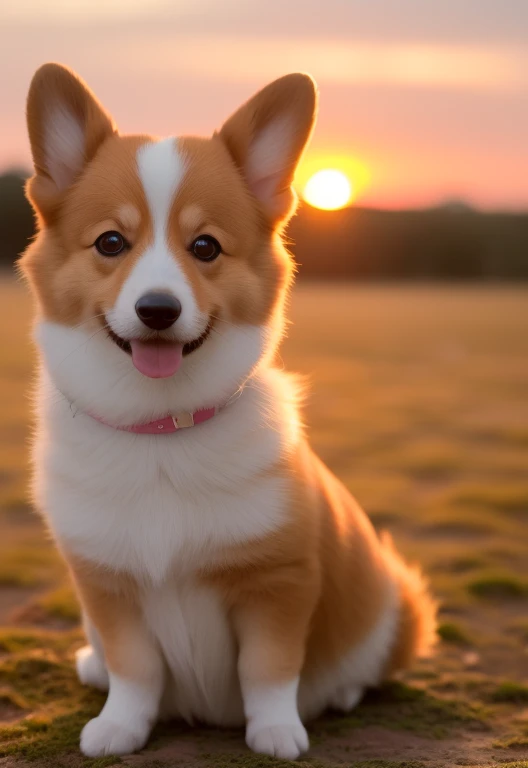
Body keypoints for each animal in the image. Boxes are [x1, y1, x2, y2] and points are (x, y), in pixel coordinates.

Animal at [18, 63, 436, 760]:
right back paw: (92, 665)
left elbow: (267, 669)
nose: (158, 309)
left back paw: (344, 691)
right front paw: (119, 727)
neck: (161, 429)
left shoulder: (279, 581)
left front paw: (276, 733)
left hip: (393, 597)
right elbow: (135, 669)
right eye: (111, 241)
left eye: (206, 247)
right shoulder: (106, 586)